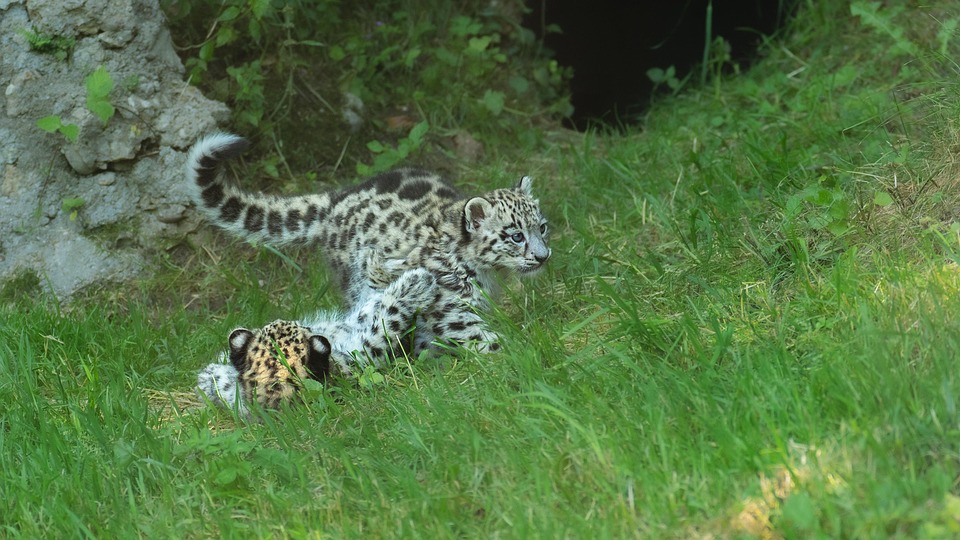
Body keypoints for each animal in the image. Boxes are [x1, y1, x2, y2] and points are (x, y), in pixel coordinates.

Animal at [186, 132, 551, 353]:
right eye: (516, 235)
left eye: (543, 227)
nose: (543, 256)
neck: (485, 274)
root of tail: (336, 197)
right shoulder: (452, 312)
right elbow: (483, 339)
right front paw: (522, 353)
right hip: (356, 281)